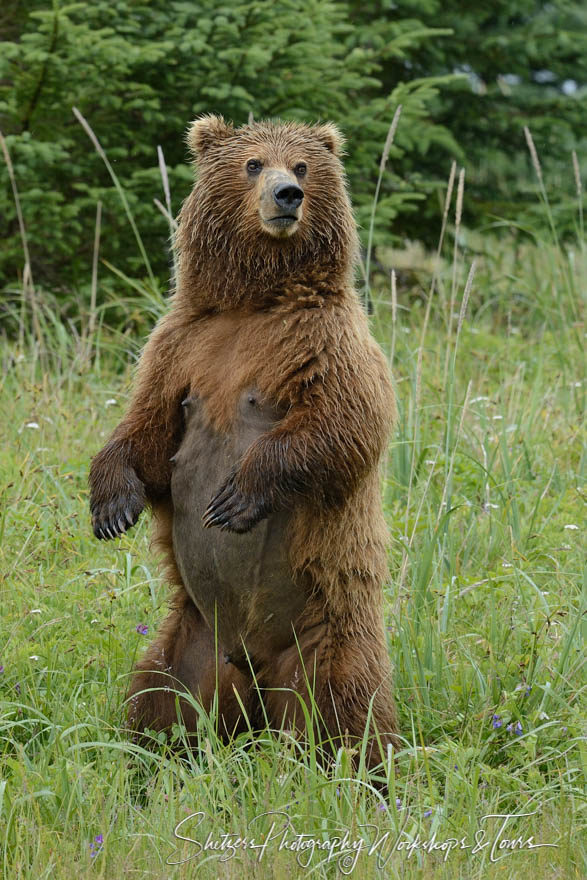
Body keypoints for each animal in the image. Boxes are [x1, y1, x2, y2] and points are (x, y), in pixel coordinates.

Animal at [88, 115, 400, 764]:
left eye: (302, 166)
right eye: (253, 163)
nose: (288, 195)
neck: (256, 299)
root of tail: (252, 674)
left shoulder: (324, 339)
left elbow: (342, 425)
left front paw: (236, 497)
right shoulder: (182, 348)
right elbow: (147, 431)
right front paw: (112, 503)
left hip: (325, 631)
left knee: (344, 711)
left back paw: (360, 769)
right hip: (191, 641)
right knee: (158, 697)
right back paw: (145, 759)